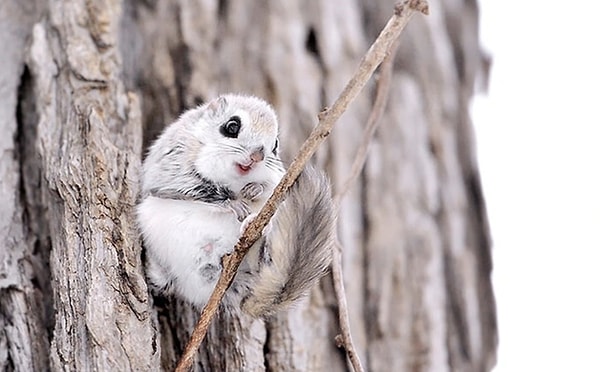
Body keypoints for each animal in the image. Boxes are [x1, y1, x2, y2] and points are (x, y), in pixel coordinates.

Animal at [136, 93, 336, 316]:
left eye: (275, 145)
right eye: (231, 127)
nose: (257, 156)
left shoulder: (277, 178)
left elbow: (270, 187)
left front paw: (255, 189)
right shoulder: (172, 167)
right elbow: (194, 189)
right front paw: (234, 203)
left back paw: (252, 228)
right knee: (164, 281)